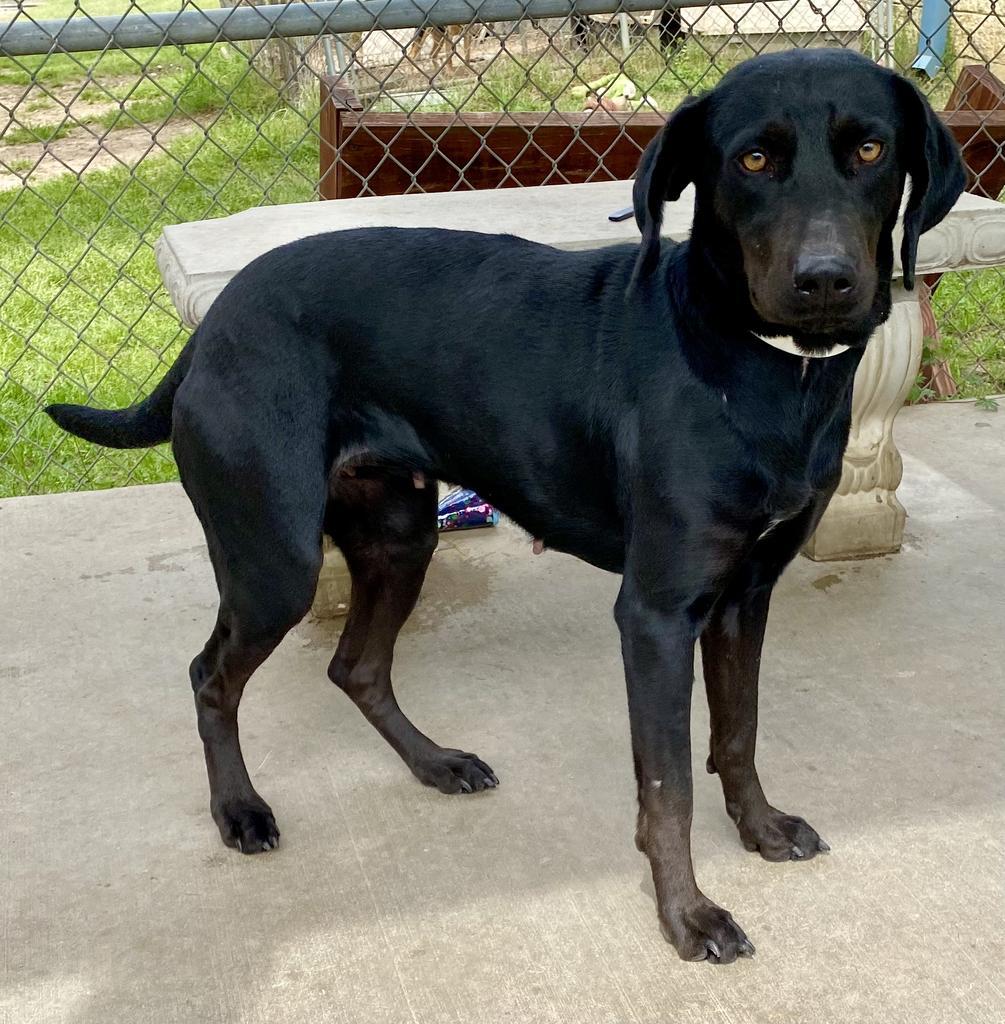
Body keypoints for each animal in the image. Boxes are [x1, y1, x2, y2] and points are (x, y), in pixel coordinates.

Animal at [48, 48, 962, 958]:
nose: (825, 281)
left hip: (399, 537)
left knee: (357, 667)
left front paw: (760, 831)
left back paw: (434, 764)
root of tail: (215, 323)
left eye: (870, 150)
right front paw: (686, 914)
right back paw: (238, 809)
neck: (760, 368)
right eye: (753, 159)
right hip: (276, 563)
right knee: (211, 675)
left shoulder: (745, 595)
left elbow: (737, 734)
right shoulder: (656, 614)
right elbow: (666, 786)